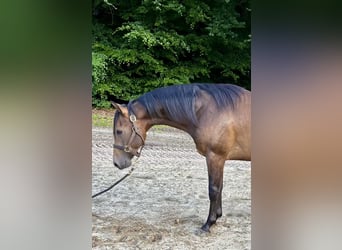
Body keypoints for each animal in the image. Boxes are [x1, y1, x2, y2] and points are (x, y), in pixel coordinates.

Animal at [112, 83, 251, 231]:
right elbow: (219, 187)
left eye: (119, 131)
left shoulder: (215, 157)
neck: (210, 111)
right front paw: (217, 216)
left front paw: (208, 224)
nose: (117, 163)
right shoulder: (219, 159)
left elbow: (213, 189)